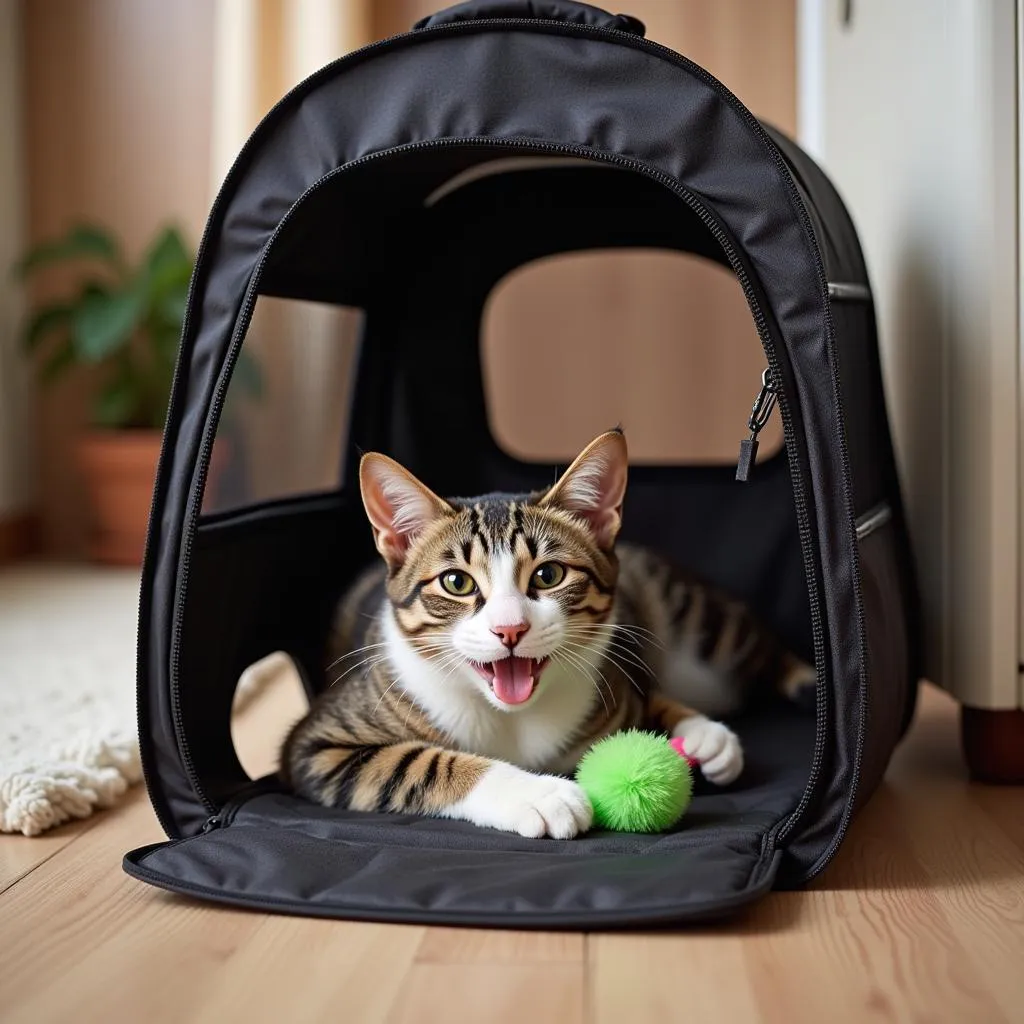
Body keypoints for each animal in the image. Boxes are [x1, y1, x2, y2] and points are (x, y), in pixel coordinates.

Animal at [280, 428, 815, 835]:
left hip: (695, 621)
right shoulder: (319, 744)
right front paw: (536, 794)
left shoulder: (617, 669)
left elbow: (642, 692)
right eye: (456, 582)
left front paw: (701, 733)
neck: (512, 717)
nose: (509, 629)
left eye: (549, 575)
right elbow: (417, 762)